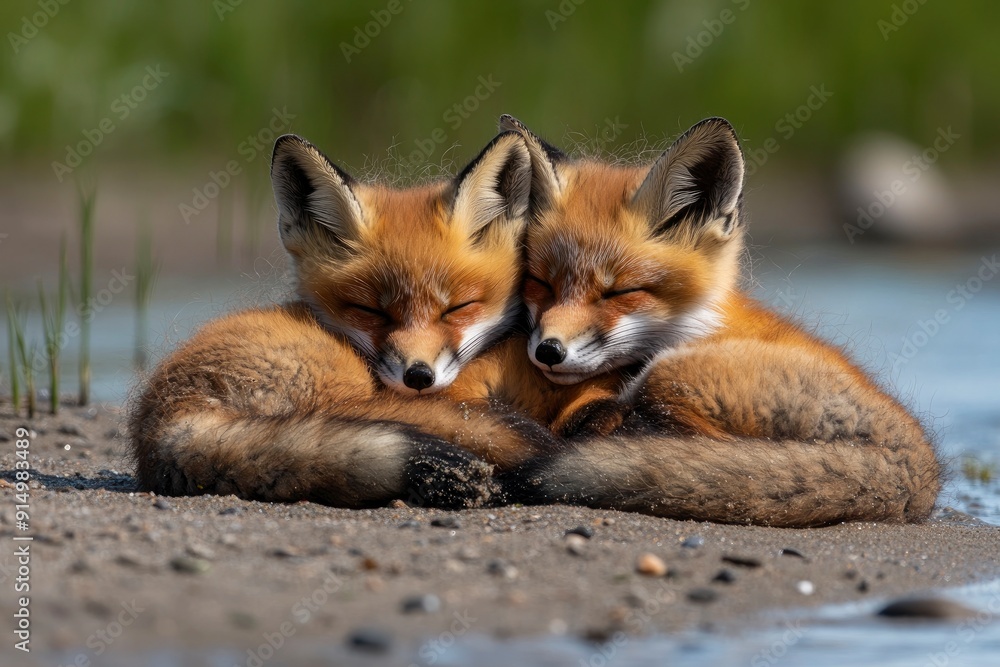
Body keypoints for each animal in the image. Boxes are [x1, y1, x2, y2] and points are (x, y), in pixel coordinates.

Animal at [495, 115, 942, 527]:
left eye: (619, 292)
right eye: (541, 283)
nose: (549, 351)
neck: (705, 321)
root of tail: (921, 470)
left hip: (671, 376)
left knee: (704, 451)